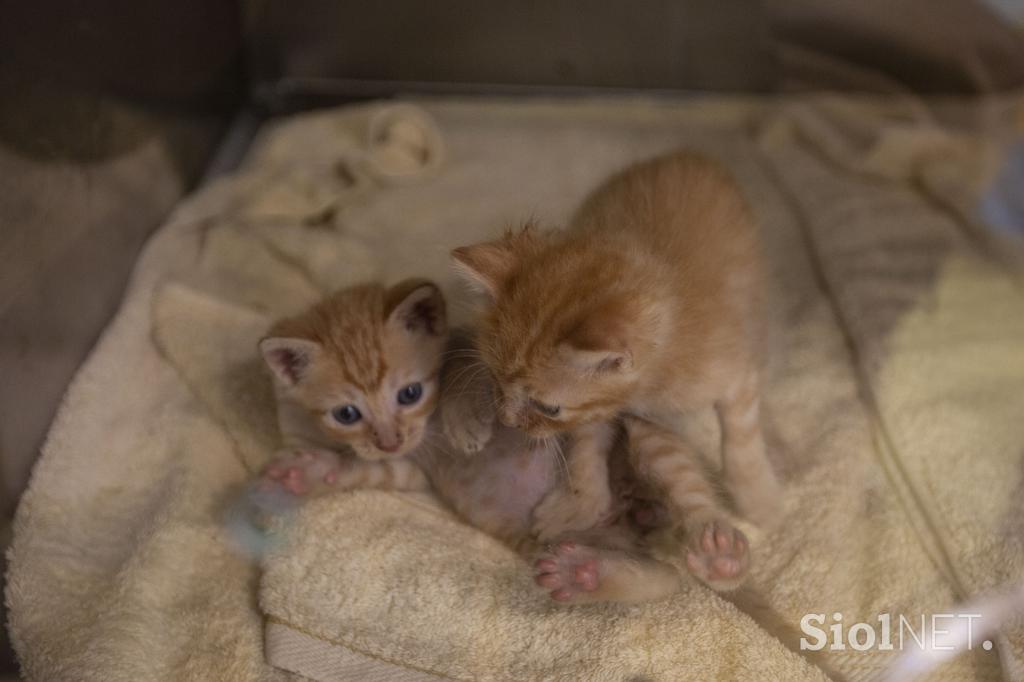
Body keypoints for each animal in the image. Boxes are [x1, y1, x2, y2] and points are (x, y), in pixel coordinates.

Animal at [452, 150, 778, 585]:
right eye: (493, 378)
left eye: (548, 407)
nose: (507, 421)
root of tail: (692, 154)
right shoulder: (626, 412)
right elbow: (591, 447)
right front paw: (579, 502)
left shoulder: (732, 374)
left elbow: (741, 436)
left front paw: (758, 498)